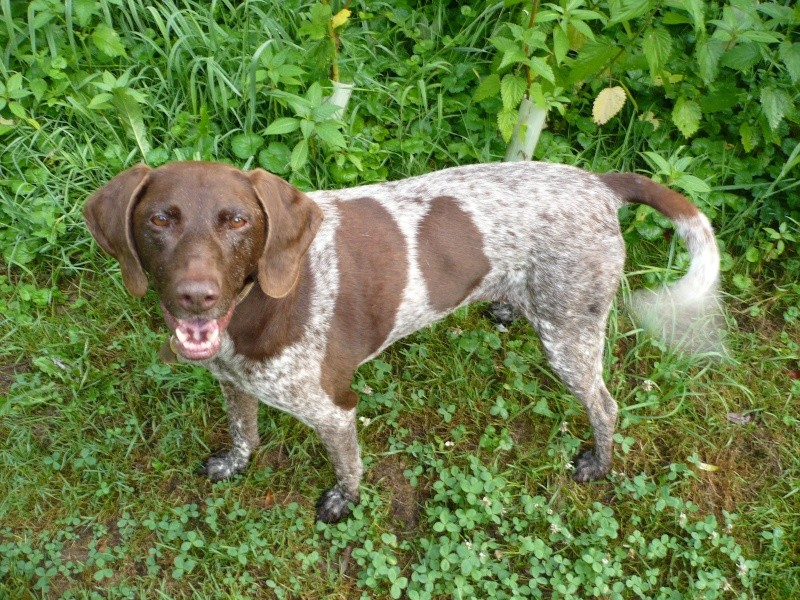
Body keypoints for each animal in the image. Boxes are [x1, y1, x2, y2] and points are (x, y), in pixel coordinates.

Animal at [83, 162, 720, 524]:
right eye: (160, 219)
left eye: (237, 220)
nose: (196, 296)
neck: (255, 307)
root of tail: (599, 183)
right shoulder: (232, 381)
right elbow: (245, 432)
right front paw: (235, 463)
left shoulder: (335, 408)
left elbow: (348, 466)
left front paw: (343, 502)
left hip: (569, 338)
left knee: (605, 407)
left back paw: (599, 463)